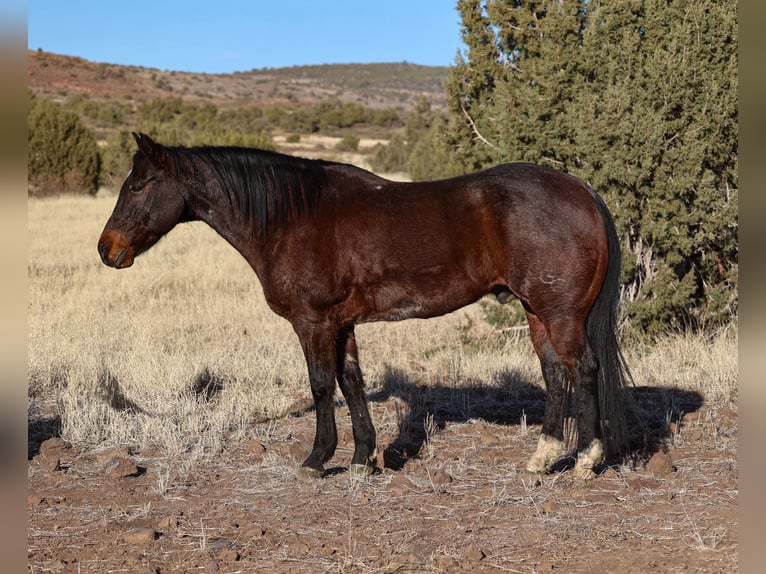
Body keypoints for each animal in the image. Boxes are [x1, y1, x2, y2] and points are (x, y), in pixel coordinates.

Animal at [100, 133, 632, 484]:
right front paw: (361, 460)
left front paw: (317, 460)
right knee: (555, 373)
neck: (293, 215)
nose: (107, 249)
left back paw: (587, 461)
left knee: (583, 369)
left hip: (560, 314)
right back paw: (543, 457)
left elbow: (320, 385)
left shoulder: (313, 323)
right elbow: (351, 381)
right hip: (536, 311)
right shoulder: (343, 325)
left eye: (140, 185)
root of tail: (582, 191)